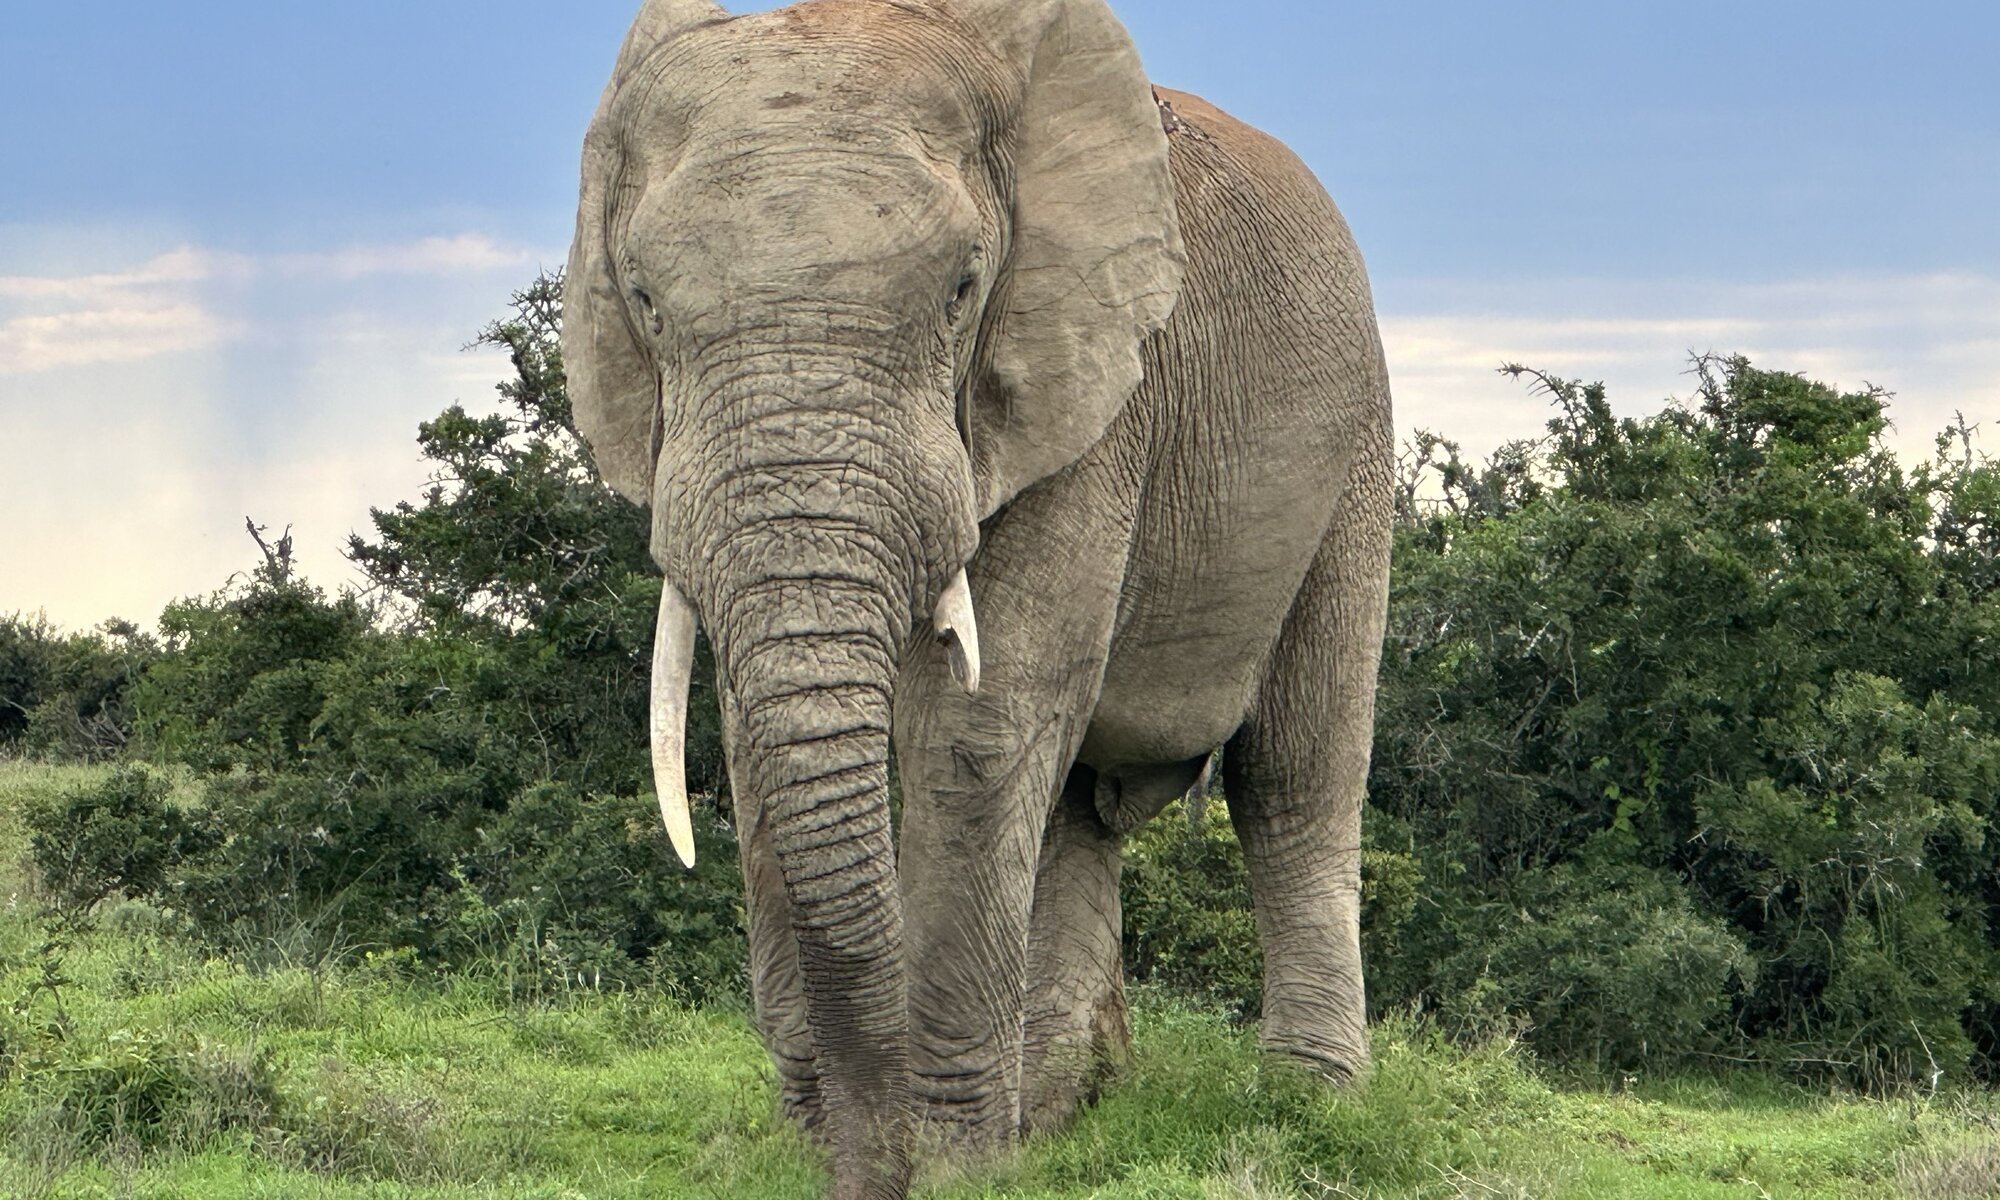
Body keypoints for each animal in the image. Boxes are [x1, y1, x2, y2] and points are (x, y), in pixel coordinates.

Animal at [564, 2, 1392, 1192]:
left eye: (962, 291)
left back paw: (1306, 1104)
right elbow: (762, 741)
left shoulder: (1089, 393)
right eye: (643, 304)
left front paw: (956, 1167)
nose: (867, 1170)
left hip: (1354, 453)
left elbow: (973, 726)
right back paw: (1057, 1116)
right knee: (1078, 809)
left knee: (1294, 777)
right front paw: (831, 1150)